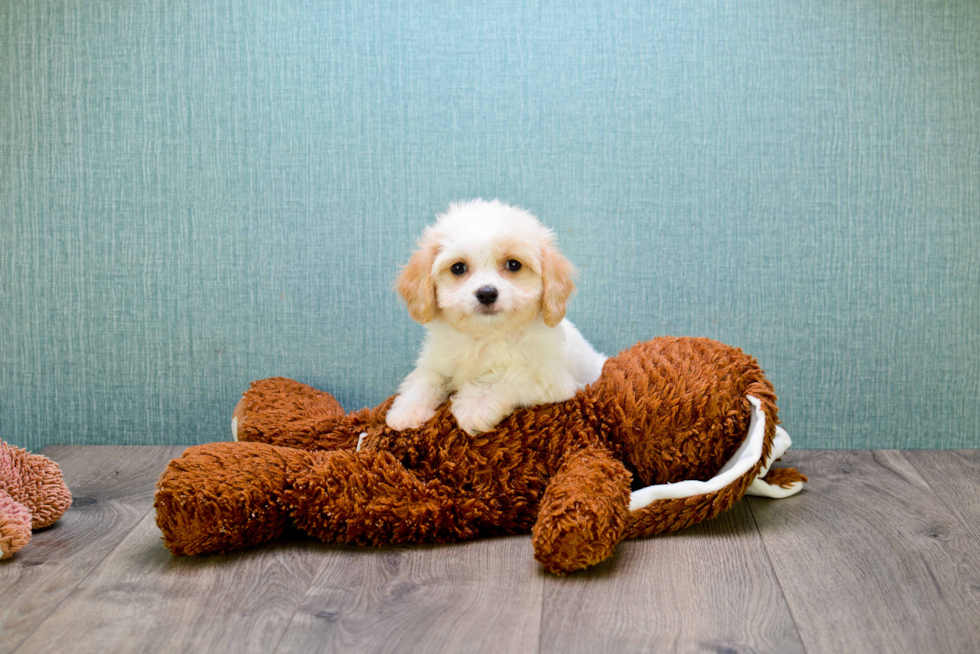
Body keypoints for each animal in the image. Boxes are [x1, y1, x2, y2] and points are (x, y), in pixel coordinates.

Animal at [384, 197, 604, 438]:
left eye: (514, 264)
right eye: (458, 268)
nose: (487, 293)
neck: (486, 335)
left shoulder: (551, 379)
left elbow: (502, 377)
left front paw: (474, 406)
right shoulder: (436, 362)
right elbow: (424, 380)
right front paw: (406, 411)